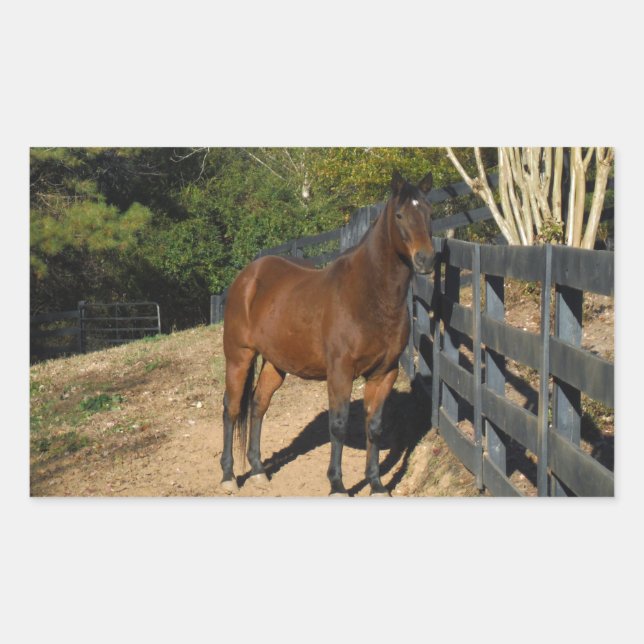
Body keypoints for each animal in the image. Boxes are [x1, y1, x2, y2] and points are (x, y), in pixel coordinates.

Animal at [220, 170, 436, 496]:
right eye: (400, 215)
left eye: (429, 212)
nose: (425, 260)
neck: (369, 295)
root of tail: (247, 277)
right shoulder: (340, 373)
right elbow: (339, 425)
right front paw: (337, 485)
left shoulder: (384, 373)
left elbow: (375, 426)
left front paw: (376, 483)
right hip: (238, 357)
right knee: (231, 409)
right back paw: (228, 476)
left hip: (275, 363)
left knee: (258, 405)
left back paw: (257, 470)